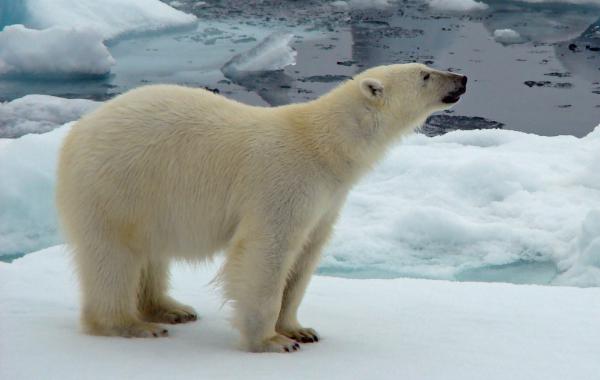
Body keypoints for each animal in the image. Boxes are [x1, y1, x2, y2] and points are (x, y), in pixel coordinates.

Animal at [56, 63, 466, 354]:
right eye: (425, 73)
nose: (462, 78)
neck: (324, 145)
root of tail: (75, 133)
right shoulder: (284, 181)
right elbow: (267, 251)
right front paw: (272, 341)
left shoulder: (327, 199)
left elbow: (305, 257)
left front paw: (300, 328)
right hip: (116, 184)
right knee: (114, 256)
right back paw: (132, 325)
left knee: (150, 253)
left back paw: (171, 309)